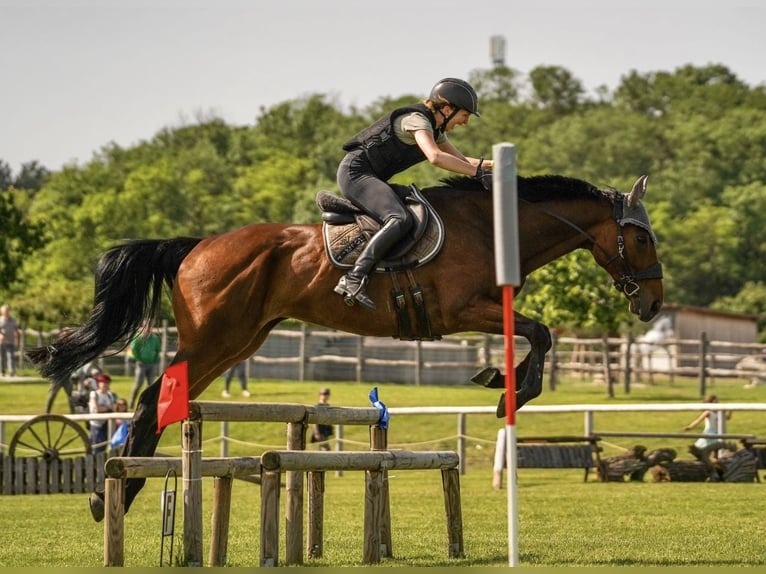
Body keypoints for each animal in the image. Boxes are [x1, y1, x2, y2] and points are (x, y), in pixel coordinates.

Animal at [25, 173, 660, 520]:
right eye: (642, 238)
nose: (653, 305)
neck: (490, 228)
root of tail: (195, 246)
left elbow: (536, 335)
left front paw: (502, 383)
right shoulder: (463, 310)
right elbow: (541, 333)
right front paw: (510, 391)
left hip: (237, 342)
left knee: (163, 398)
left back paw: (117, 493)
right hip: (214, 339)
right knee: (152, 396)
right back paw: (115, 492)